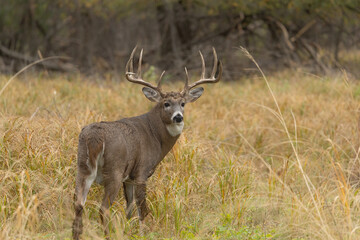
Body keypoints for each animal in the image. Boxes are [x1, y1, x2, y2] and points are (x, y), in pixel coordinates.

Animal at [71, 47, 221, 240]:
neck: (155, 136)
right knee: (103, 208)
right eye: (166, 103)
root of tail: (94, 137)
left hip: (83, 168)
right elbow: (143, 210)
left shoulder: (129, 178)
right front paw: (143, 233)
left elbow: (129, 209)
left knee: (78, 204)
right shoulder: (142, 172)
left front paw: (128, 231)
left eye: (183, 103)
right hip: (114, 171)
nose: (178, 117)